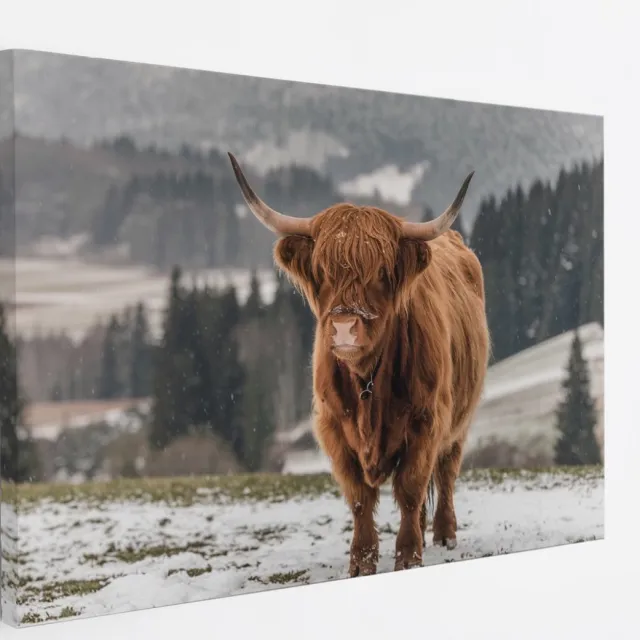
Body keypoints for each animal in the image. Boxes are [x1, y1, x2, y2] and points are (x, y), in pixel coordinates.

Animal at [228, 153, 490, 576]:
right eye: (322, 271)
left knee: (446, 471)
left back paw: (444, 534)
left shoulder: (426, 420)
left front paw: (408, 557)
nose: (344, 328)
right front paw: (362, 562)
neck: (368, 381)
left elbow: (411, 487)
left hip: (459, 420)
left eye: (381, 273)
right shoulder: (333, 427)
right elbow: (359, 499)